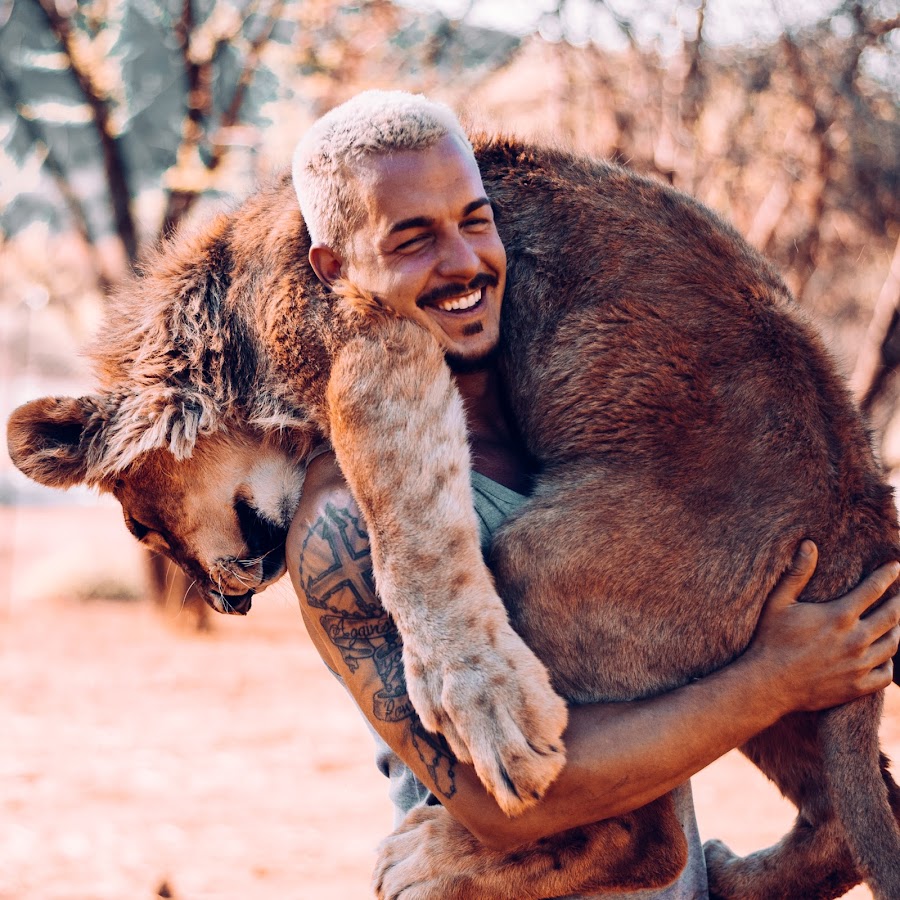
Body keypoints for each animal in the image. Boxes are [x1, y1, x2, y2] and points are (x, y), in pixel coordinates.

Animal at [7, 135, 900, 900]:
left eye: (139, 530)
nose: (225, 606)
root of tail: (860, 515)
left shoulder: (373, 336)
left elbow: (412, 529)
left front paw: (483, 706)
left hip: (542, 567)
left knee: (648, 836)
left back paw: (438, 858)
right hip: (773, 677)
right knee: (839, 818)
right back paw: (737, 873)